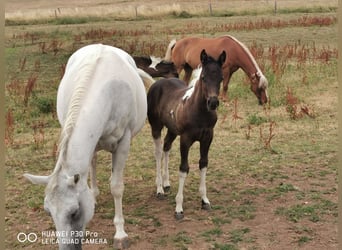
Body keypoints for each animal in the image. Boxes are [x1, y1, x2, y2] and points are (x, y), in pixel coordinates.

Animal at [24, 44, 152, 249]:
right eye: (48, 211)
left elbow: (117, 187)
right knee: (93, 163)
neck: (107, 91)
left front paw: (120, 234)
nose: (67, 248)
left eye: (74, 212)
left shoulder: (124, 142)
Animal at [146, 48, 224, 219]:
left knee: (166, 147)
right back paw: (159, 188)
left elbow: (203, 163)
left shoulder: (208, 137)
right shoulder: (186, 139)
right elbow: (184, 168)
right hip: (156, 127)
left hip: (172, 130)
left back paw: (166, 183)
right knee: (157, 152)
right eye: (203, 77)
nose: (213, 103)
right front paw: (179, 208)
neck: (198, 111)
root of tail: (158, 83)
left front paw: (204, 200)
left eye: (221, 78)